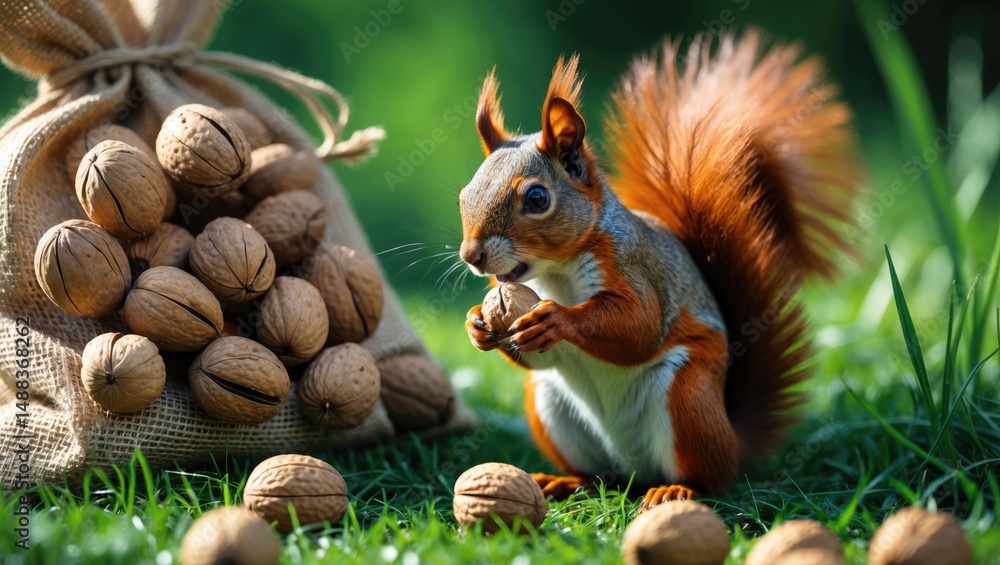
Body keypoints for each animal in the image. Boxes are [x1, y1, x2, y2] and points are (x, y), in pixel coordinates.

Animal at [459, 30, 860, 510]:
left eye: (537, 198)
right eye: (464, 194)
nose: (470, 255)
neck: (555, 273)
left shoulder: (634, 265)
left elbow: (639, 327)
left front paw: (555, 319)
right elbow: (540, 355)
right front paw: (476, 324)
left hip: (686, 396)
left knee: (710, 477)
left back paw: (678, 488)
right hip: (550, 403)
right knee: (600, 473)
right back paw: (567, 481)